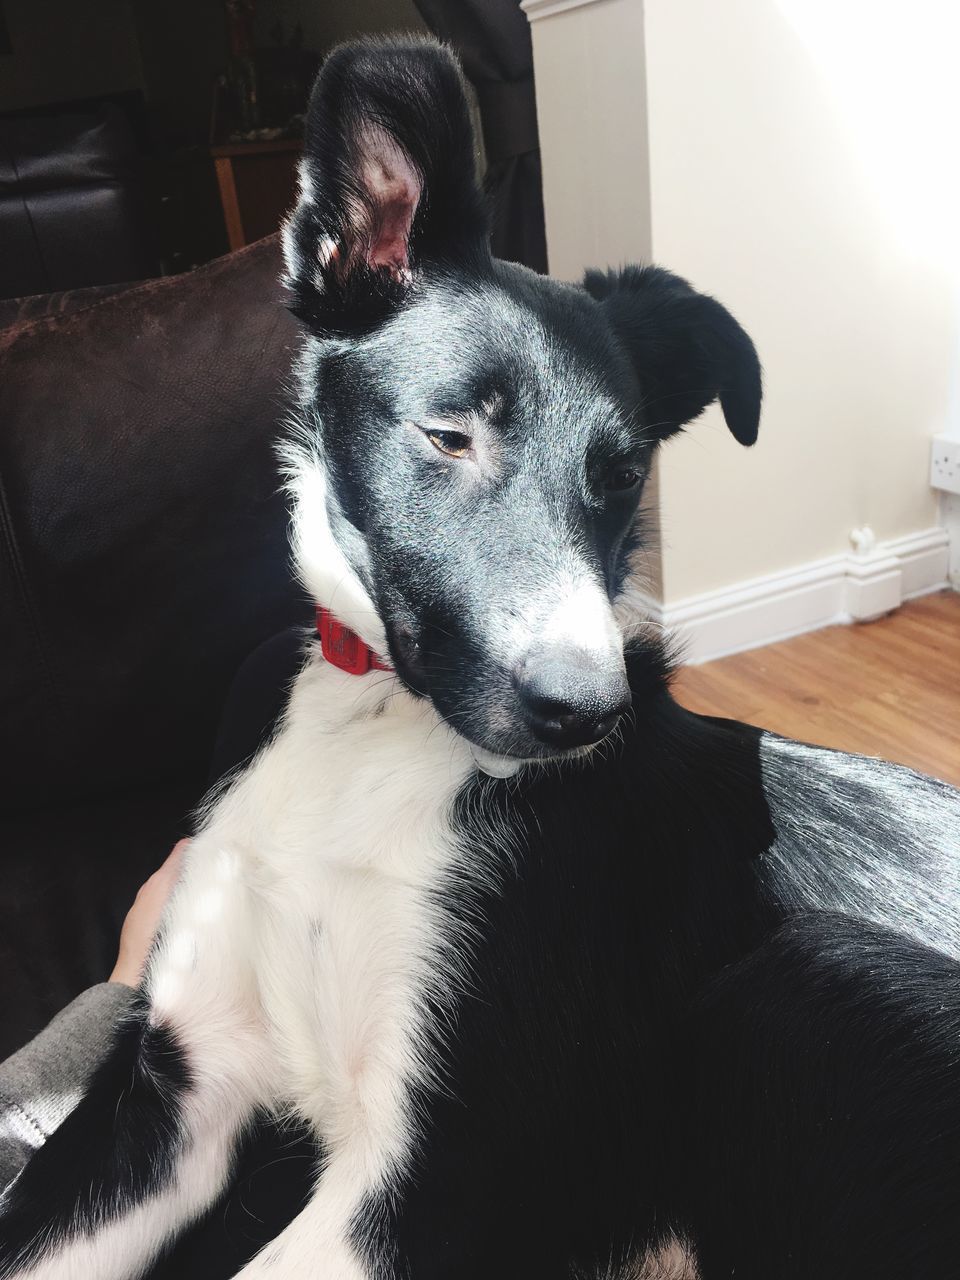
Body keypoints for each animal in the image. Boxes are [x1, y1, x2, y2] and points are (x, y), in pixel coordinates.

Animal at [1, 37, 960, 1280]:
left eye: (622, 472)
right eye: (449, 434)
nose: (591, 714)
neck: (376, 722)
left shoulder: (427, 1185)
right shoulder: (170, 1088)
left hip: (800, 978)